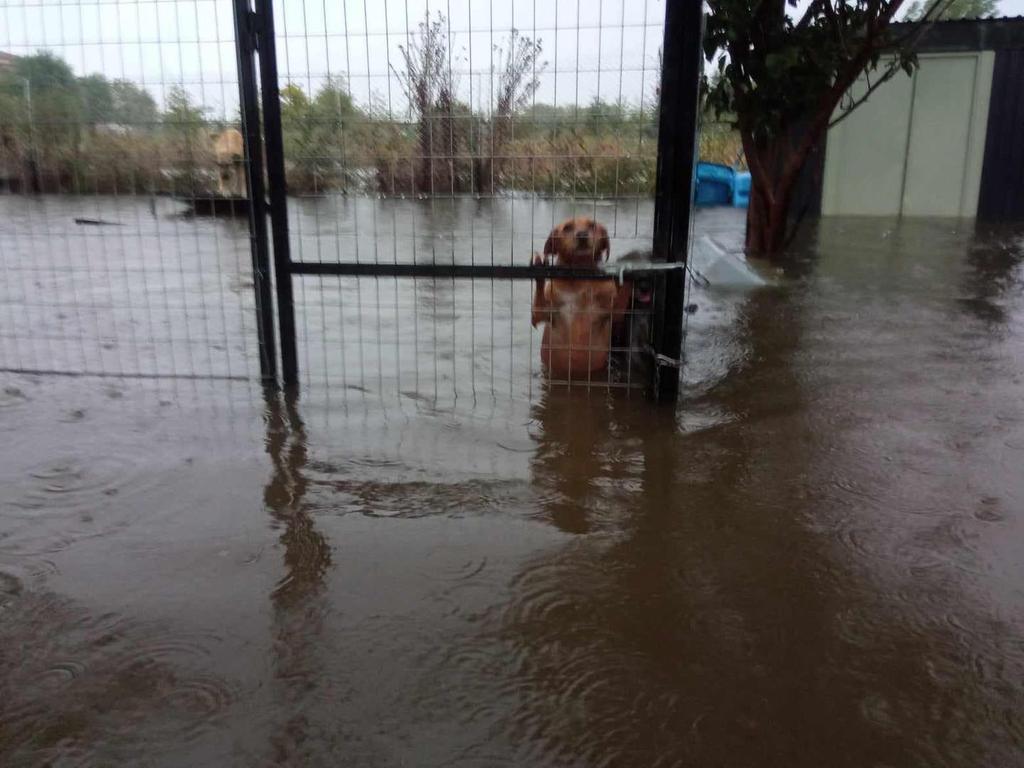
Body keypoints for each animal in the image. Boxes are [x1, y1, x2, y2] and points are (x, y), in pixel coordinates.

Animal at [532, 217, 626, 378]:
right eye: (567, 227)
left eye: (592, 225)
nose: (582, 235)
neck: (580, 280)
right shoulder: (540, 314)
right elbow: (538, 309)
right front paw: (539, 266)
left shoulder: (615, 311)